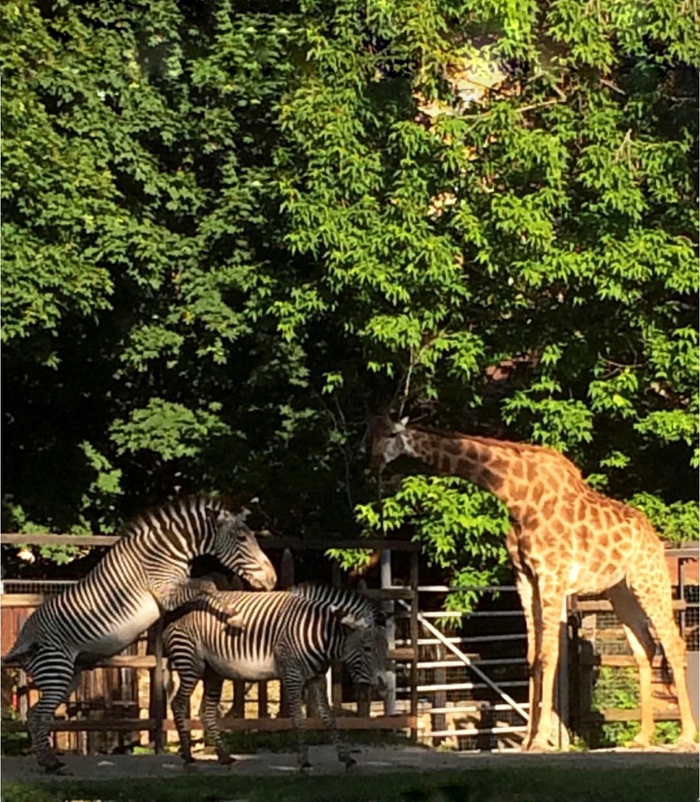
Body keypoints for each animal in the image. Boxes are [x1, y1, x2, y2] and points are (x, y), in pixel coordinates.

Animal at [2, 494, 276, 768]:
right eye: (241, 538)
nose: (272, 579)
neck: (167, 551)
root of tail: (22, 639)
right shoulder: (166, 594)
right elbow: (207, 584)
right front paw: (234, 615)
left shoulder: (177, 591)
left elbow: (207, 587)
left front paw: (230, 610)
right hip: (56, 672)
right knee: (39, 714)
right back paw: (50, 763)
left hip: (69, 676)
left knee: (35, 714)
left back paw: (46, 761)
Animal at [165, 580, 388, 768]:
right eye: (367, 648)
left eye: (386, 648)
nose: (383, 686)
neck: (319, 633)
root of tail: (178, 611)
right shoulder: (292, 675)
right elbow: (298, 718)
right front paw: (303, 761)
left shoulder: (317, 678)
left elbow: (328, 717)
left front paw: (345, 757)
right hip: (191, 664)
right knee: (177, 704)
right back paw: (188, 757)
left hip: (213, 673)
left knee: (207, 713)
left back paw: (224, 756)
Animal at [370, 416, 696, 748]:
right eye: (369, 434)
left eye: (390, 434)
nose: (371, 464)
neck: (517, 497)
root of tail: (654, 537)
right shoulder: (525, 578)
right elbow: (531, 655)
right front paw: (528, 739)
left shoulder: (551, 575)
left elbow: (549, 654)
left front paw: (541, 739)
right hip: (620, 592)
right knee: (645, 647)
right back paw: (644, 736)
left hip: (649, 579)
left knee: (673, 642)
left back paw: (686, 736)